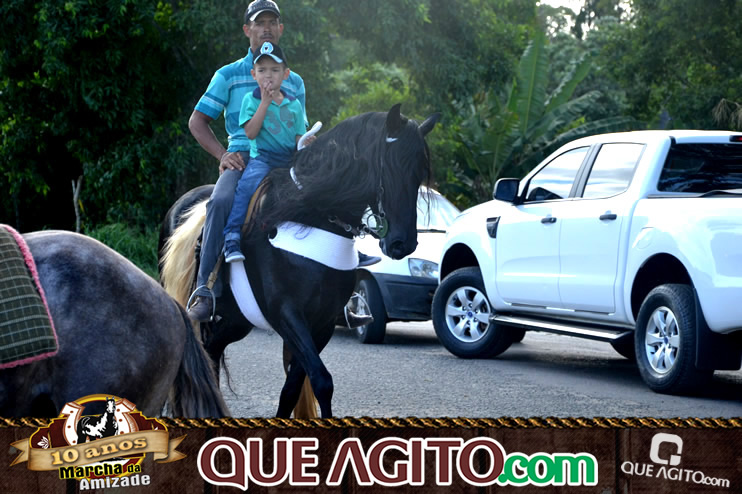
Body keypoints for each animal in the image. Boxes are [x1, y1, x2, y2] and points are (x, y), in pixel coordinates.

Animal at [161, 104, 440, 418]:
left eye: (419, 173)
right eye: (390, 166)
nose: (402, 243)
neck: (310, 214)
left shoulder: (323, 321)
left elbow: (294, 388)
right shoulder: (287, 314)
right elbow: (322, 381)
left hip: (238, 318)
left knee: (212, 349)